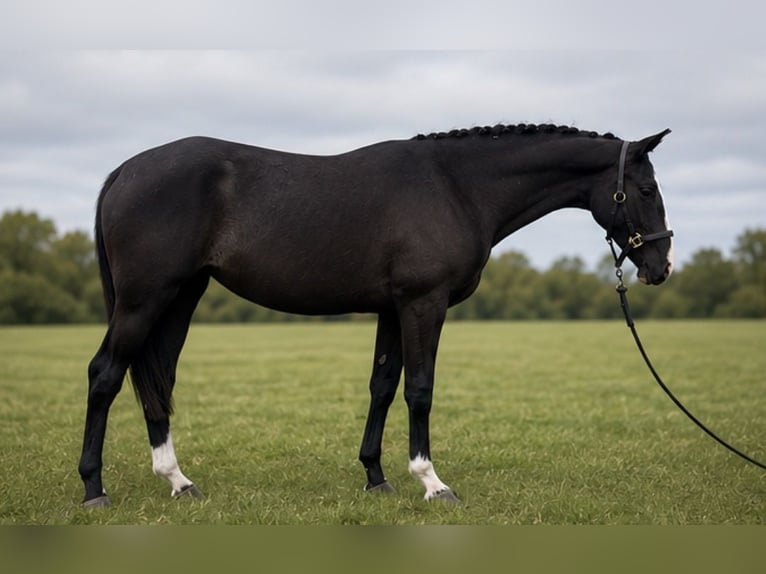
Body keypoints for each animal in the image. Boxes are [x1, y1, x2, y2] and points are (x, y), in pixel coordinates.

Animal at [78, 123, 674, 507]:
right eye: (646, 188)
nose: (660, 265)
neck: (456, 187)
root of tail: (126, 171)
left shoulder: (393, 308)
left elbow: (383, 387)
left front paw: (376, 477)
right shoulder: (423, 303)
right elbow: (420, 390)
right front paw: (432, 483)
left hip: (181, 297)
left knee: (158, 380)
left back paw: (178, 481)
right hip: (146, 300)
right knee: (105, 375)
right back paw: (93, 489)